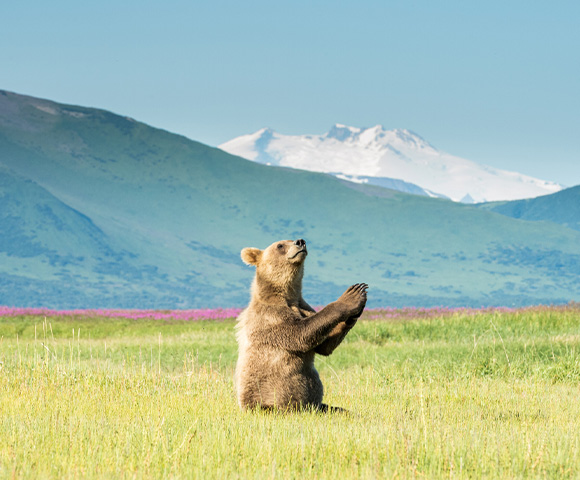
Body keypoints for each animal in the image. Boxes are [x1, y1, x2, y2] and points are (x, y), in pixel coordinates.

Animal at [232, 238, 364, 410]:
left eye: (291, 239)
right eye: (280, 245)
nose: (300, 241)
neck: (288, 296)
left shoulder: (304, 307)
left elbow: (324, 345)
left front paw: (358, 306)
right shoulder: (270, 317)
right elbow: (300, 334)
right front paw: (350, 297)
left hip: (318, 406)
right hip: (268, 401)